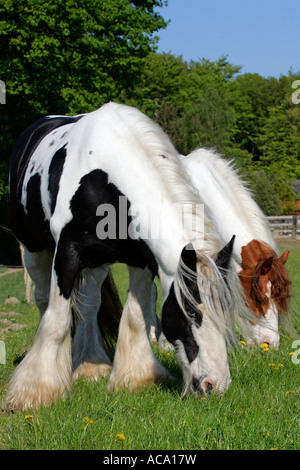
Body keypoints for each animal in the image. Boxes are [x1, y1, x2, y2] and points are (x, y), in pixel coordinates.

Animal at [5, 102, 252, 408]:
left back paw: (91, 366)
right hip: (33, 248)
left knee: (88, 305)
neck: (103, 177)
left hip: (97, 262)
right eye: (193, 312)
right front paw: (35, 391)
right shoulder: (67, 252)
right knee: (42, 302)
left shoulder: (141, 260)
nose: (215, 386)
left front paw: (135, 378)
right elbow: (56, 319)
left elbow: (135, 317)